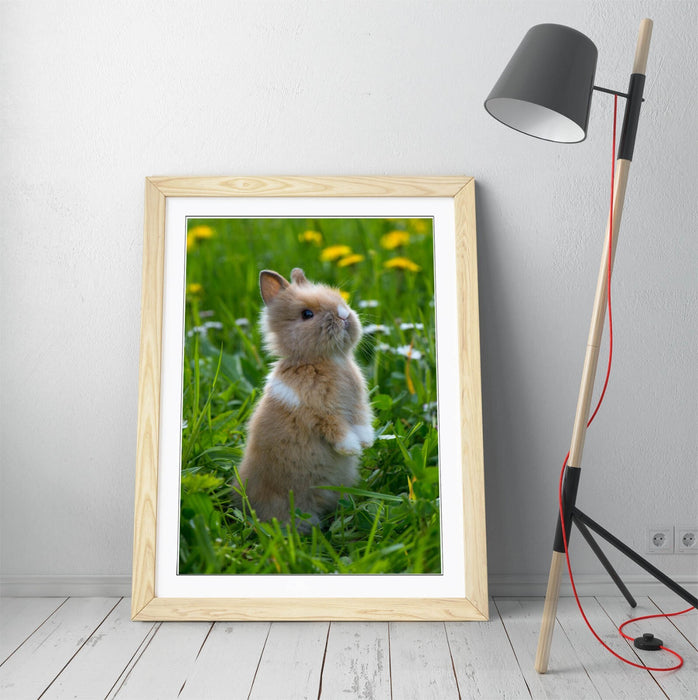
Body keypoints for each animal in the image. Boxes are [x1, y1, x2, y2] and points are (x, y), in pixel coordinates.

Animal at [233, 267, 374, 530]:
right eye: (307, 314)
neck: (327, 360)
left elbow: (361, 421)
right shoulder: (319, 411)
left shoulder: (358, 404)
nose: (343, 315)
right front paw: (351, 449)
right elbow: (337, 428)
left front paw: (367, 443)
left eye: (340, 300)